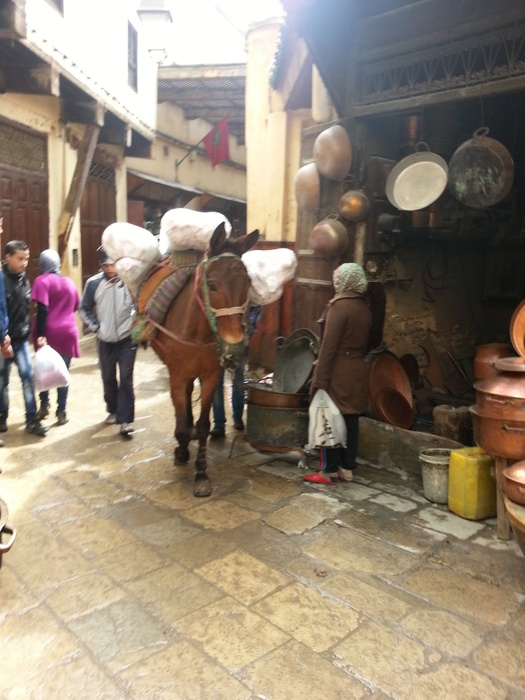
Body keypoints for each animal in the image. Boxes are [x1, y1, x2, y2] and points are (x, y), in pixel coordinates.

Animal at [151, 222, 259, 497]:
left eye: (248, 283)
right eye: (211, 285)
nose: (235, 345)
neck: (197, 333)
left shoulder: (210, 375)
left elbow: (201, 426)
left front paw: (201, 473)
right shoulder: (177, 376)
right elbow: (181, 426)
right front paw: (181, 451)